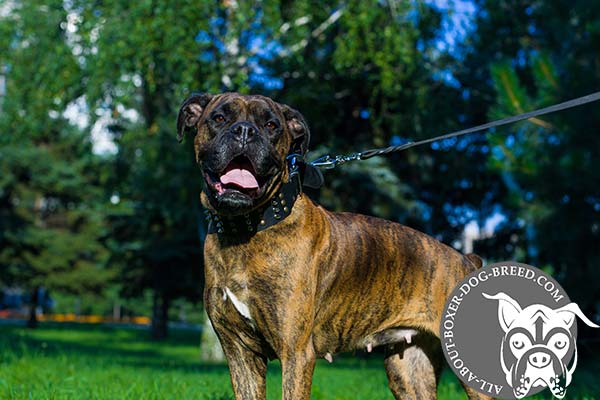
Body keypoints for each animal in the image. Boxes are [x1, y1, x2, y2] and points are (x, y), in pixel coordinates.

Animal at [177, 92, 492, 400]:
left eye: (271, 126)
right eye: (219, 118)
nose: (244, 131)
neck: (245, 229)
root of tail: (467, 260)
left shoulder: (296, 354)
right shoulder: (240, 354)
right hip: (407, 372)